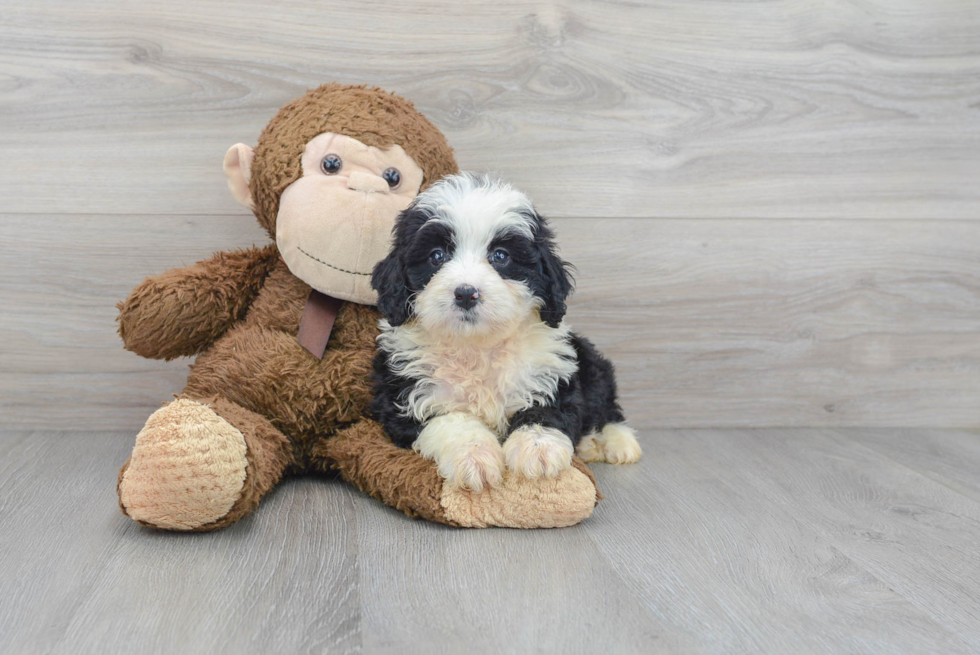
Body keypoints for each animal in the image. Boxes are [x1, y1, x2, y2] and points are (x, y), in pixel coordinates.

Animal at [372, 174, 640, 492]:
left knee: (605, 404)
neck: (477, 345)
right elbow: (453, 421)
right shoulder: (407, 394)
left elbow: (547, 410)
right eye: (436, 256)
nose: (466, 293)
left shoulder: (550, 372)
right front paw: (474, 458)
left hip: (589, 360)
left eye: (500, 256)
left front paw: (538, 449)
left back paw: (617, 443)